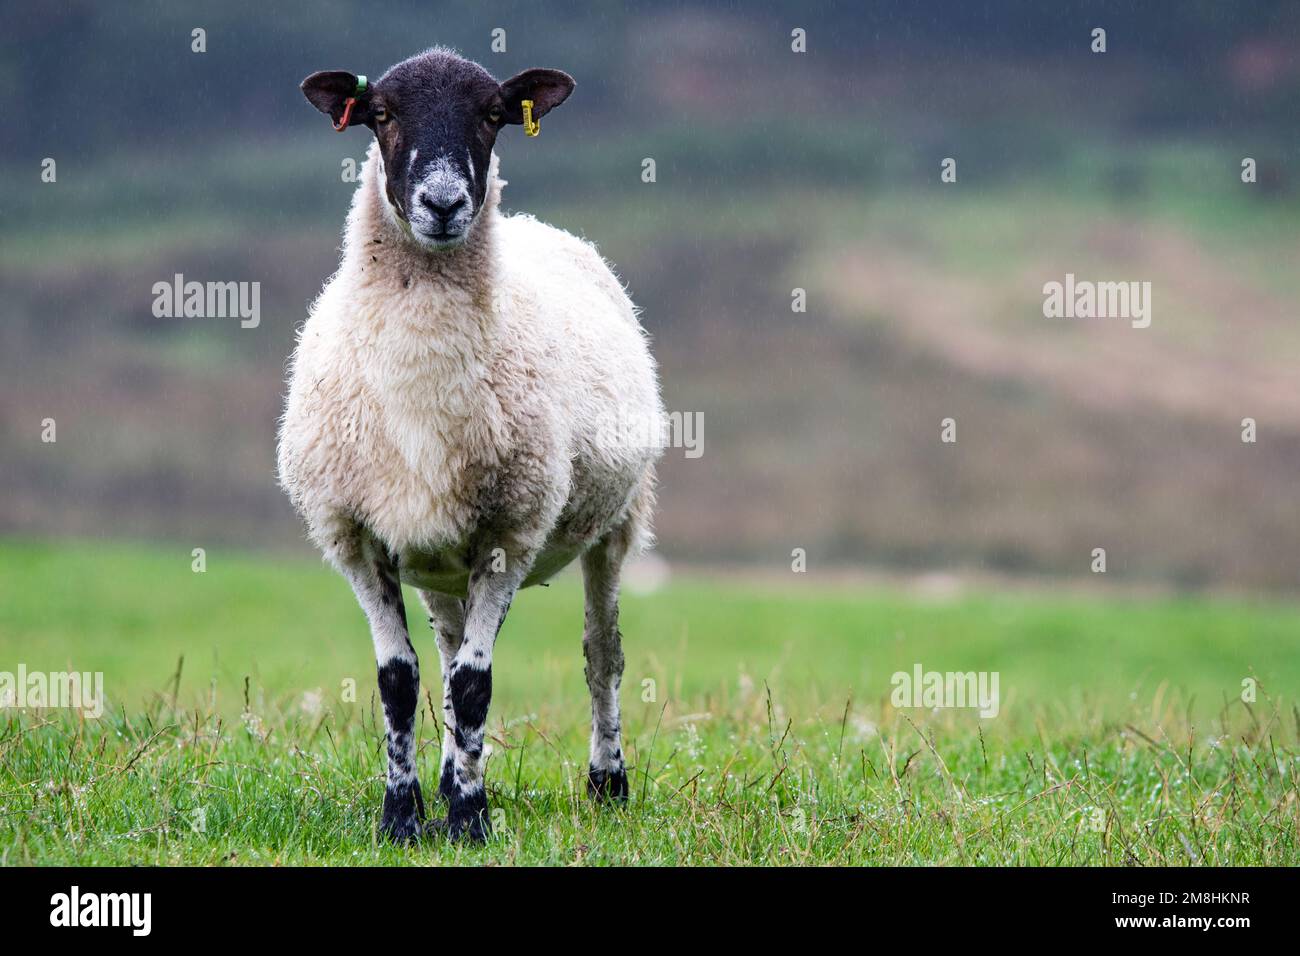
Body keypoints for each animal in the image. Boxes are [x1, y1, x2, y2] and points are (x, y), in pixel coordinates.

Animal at [274, 48, 660, 842]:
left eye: (492, 114)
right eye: (381, 113)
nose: (446, 203)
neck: (419, 388)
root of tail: (539, 227)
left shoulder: (511, 531)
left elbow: (477, 686)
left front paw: (470, 820)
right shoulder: (357, 536)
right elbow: (401, 682)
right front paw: (403, 817)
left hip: (618, 520)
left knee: (601, 656)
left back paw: (607, 783)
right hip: (437, 561)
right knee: (449, 655)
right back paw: (452, 776)